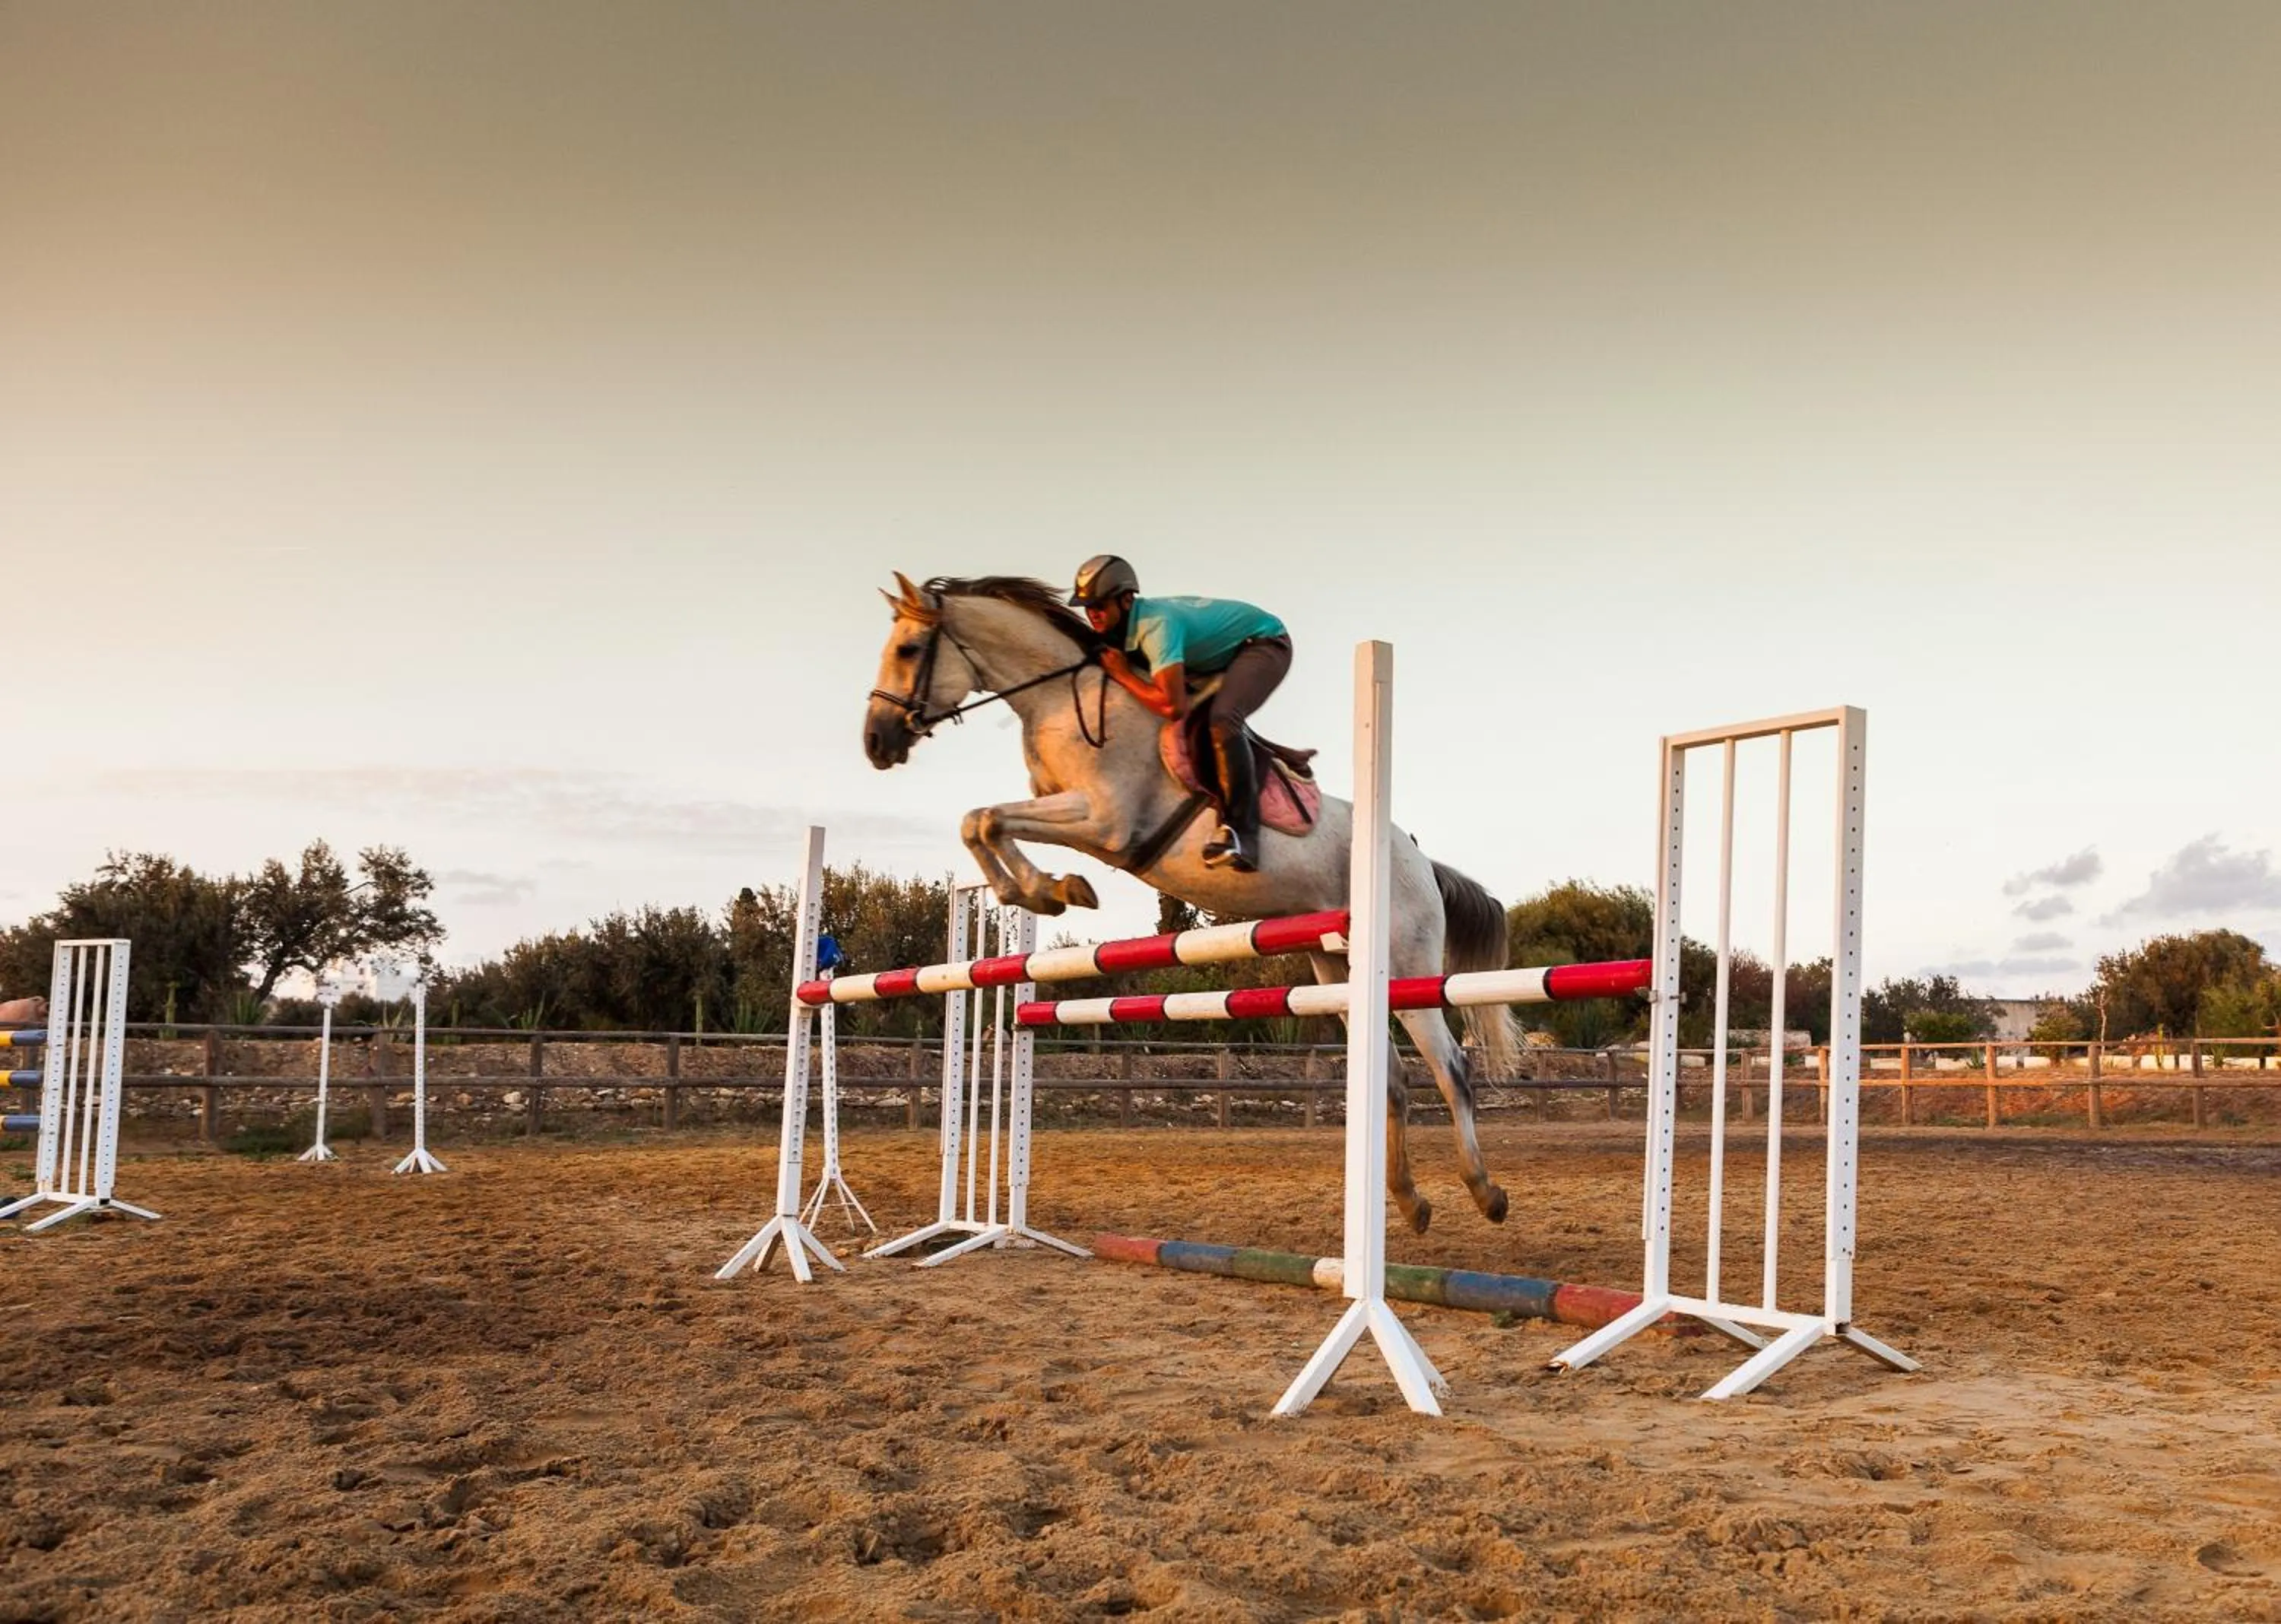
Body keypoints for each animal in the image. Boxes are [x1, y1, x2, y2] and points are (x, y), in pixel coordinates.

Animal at [861, 573, 1519, 1233]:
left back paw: (1486, 1192)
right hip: (1336, 970)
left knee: (1452, 1070)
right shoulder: (1077, 818)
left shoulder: (1105, 821)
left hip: (1405, 967)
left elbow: (988, 820)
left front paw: (1051, 889)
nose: (875, 743)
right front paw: (1042, 889)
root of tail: (1420, 861)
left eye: (910, 650)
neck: (1057, 701)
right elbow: (980, 820)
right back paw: (1411, 1200)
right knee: (1393, 1080)